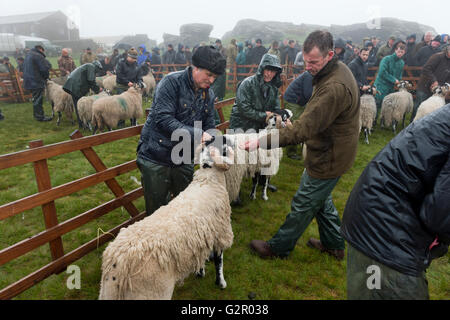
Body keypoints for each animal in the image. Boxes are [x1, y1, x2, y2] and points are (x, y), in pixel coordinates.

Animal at [99, 138, 236, 300]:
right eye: (224, 142)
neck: (208, 180)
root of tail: (118, 264)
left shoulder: (202, 240)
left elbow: (201, 257)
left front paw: (200, 271)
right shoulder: (220, 233)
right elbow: (219, 262)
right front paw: (221, 283)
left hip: (107, 291)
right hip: (152, 292)